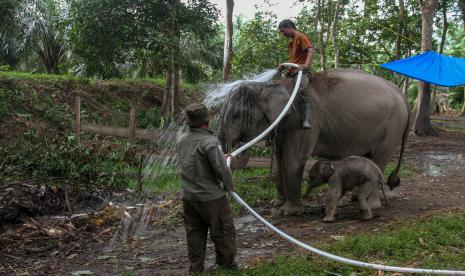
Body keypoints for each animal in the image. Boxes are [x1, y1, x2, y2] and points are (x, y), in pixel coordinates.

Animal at [219, 68, 408, 215]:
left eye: (236, 116)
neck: (274, 84)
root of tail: (402, 94)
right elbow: (279, 161)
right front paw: (276, 203)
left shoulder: (304, 122)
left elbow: (293, 160)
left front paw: (288, 212)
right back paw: (355, 199)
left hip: (392, 127)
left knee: (379, 159)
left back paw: (371, 205)